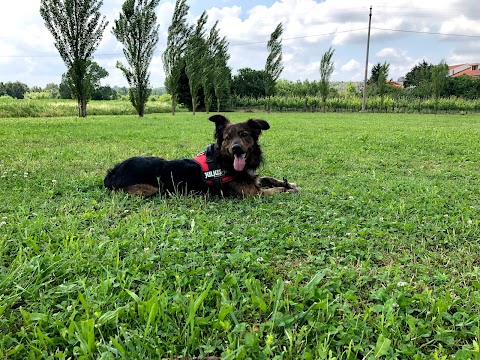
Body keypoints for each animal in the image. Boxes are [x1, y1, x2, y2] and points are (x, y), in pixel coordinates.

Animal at [103, 114, 298, 197]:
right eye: (227, 137)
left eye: (244, 134)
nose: (236, 149)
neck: (225, 161)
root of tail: (113, 172)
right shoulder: (254, 193)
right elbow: (275, 190)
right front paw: (288, 189)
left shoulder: (253, 179)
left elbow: (267, 178)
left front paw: (288, 183)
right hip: (151, 188)